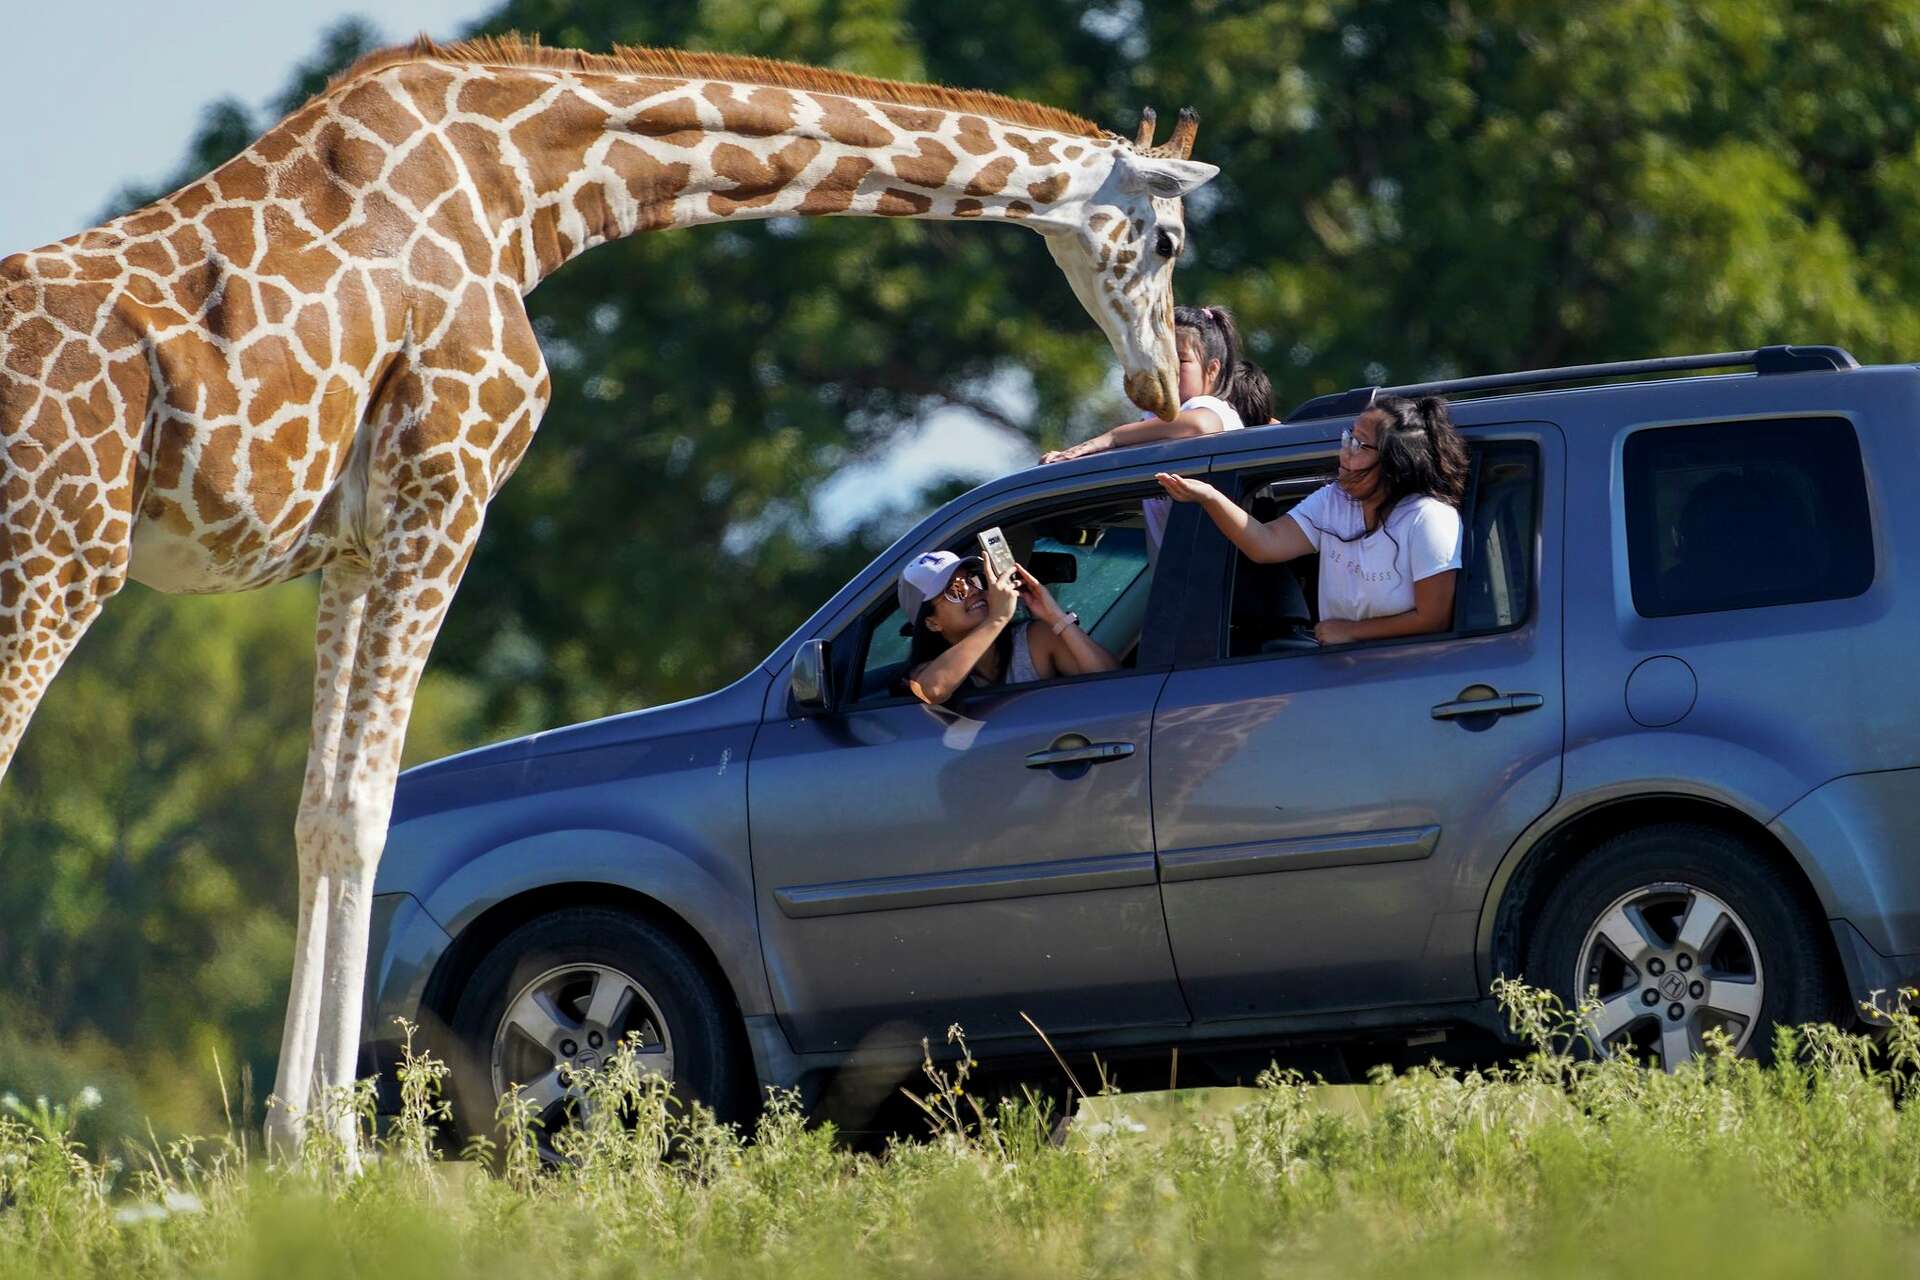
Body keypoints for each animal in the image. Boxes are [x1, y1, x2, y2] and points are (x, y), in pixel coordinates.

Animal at [0, 34, 1216, 1156]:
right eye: (1167, 240)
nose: (1157, 379)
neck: (526, 194)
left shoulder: (351, 547)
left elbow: (315, 812)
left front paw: (296, 1142)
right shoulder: (446, 491)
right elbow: (365, 810)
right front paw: (337, 1157)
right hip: (59, 557)